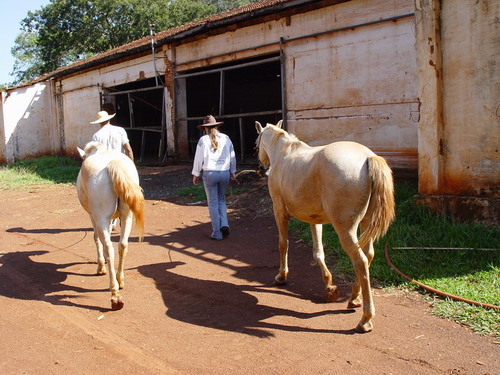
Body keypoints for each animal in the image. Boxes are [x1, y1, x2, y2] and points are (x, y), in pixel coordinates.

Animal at [76, 142, 144, 312]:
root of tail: (112, 164)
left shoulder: (93, 216)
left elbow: (96, 239)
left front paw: (101, 266)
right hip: (127, 216)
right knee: (123, 245)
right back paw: (120, 281)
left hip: (101, 218)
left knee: (109, 248)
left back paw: (115, 295)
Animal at [258, 121, 394, 332]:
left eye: (256, 144)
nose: (261, 166)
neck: (284, 153)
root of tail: (368, 157)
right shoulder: (315, 220)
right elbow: (318, 253)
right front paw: (330, 287)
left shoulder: (279, 212)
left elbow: (283, 244)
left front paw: (281, 276)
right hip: (365, 225)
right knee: (369, 255)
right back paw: (354, 298)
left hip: (345, 229)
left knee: (361, 261)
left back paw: (365, 319)